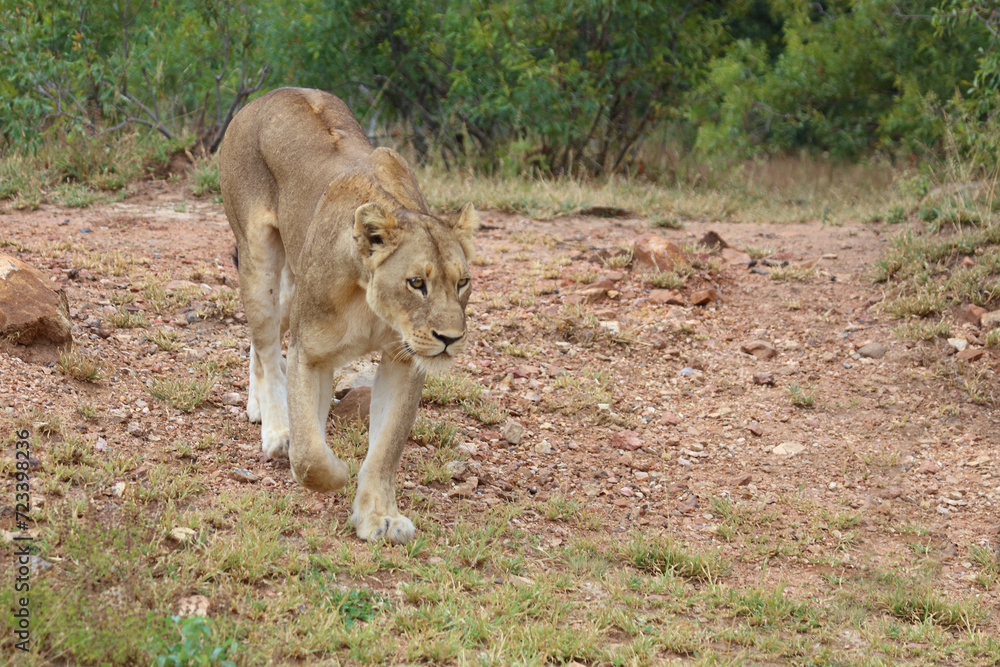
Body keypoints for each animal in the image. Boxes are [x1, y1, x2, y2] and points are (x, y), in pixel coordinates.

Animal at [219, 87, 476, 544]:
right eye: (416, 283)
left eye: (462, 282)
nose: (449, 339)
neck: (374, 306)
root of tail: (271, 93)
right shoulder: (310, 353)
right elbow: (309, 454)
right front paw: (333, 470)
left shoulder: (404, 362)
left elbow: (386, 448)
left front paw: (379, 518)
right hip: (258, 261)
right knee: (265, 343)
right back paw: (276, 429)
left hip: (291, 286)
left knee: (261, 340)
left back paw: (256, 407)